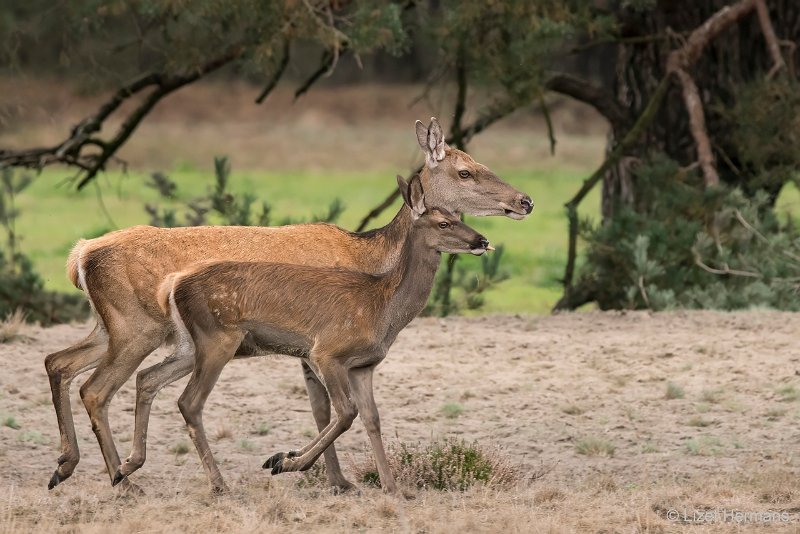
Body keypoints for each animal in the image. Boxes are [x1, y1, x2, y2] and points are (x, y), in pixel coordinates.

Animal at [158, 175, 494, 494]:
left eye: (457, 215)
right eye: (444, 223)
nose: (482, 239)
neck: (382, 309)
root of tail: (173, 284)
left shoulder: (363, 366)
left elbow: (372, 418)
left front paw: (392, 487)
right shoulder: (327, 351)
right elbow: (346, 412)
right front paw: (289, 462)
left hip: (195, 345)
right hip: (218, 338)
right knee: (189, 401)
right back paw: (219, 484)